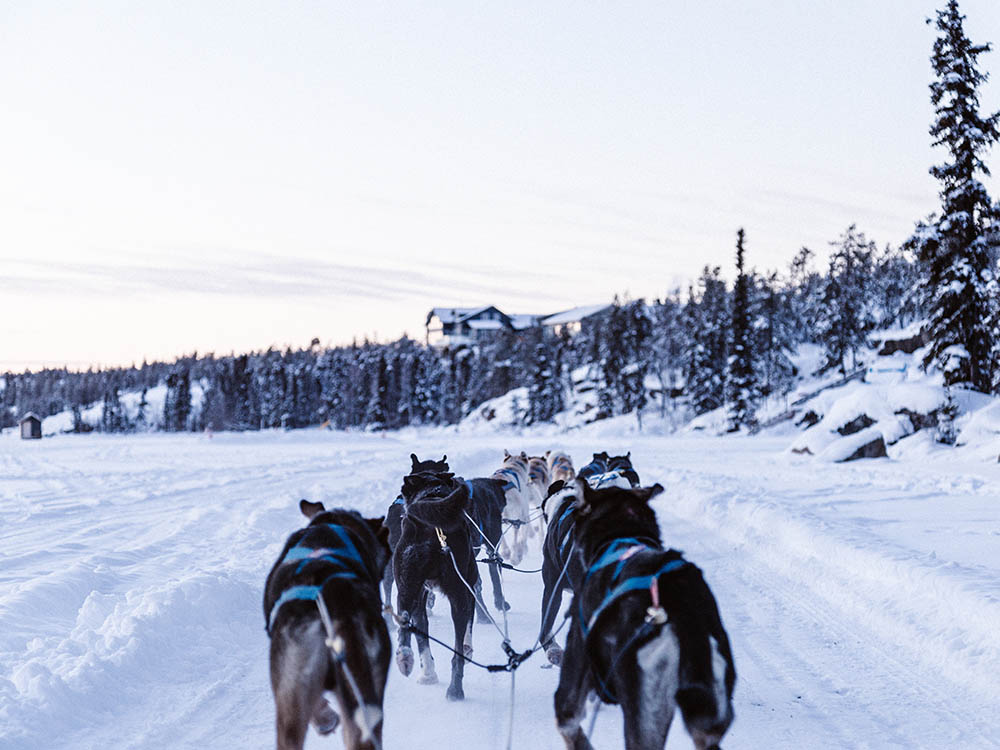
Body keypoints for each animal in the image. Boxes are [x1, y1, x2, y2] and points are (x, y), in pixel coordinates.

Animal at [392, 472, 478, 704]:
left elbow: (422, 637)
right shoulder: (469, 587)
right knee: (457, 654)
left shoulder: (420, 597)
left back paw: (405, 657)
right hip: (458, 593)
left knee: (404, 622)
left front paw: (427, 673)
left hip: (406, 587)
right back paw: (455, 688)